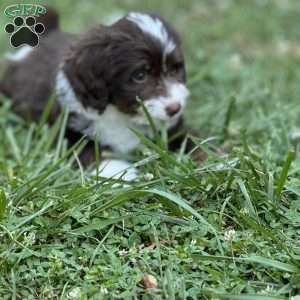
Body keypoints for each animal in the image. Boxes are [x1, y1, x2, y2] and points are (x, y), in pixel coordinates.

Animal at [0, 7, 204, 180]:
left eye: (175, 70)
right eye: (140, 76)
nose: (175, 108)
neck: (121, 114)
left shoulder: (173, 128)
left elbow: (193, 139)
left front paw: (207, 159)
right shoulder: (67, 132)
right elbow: (89, 152)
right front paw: (120, 173)